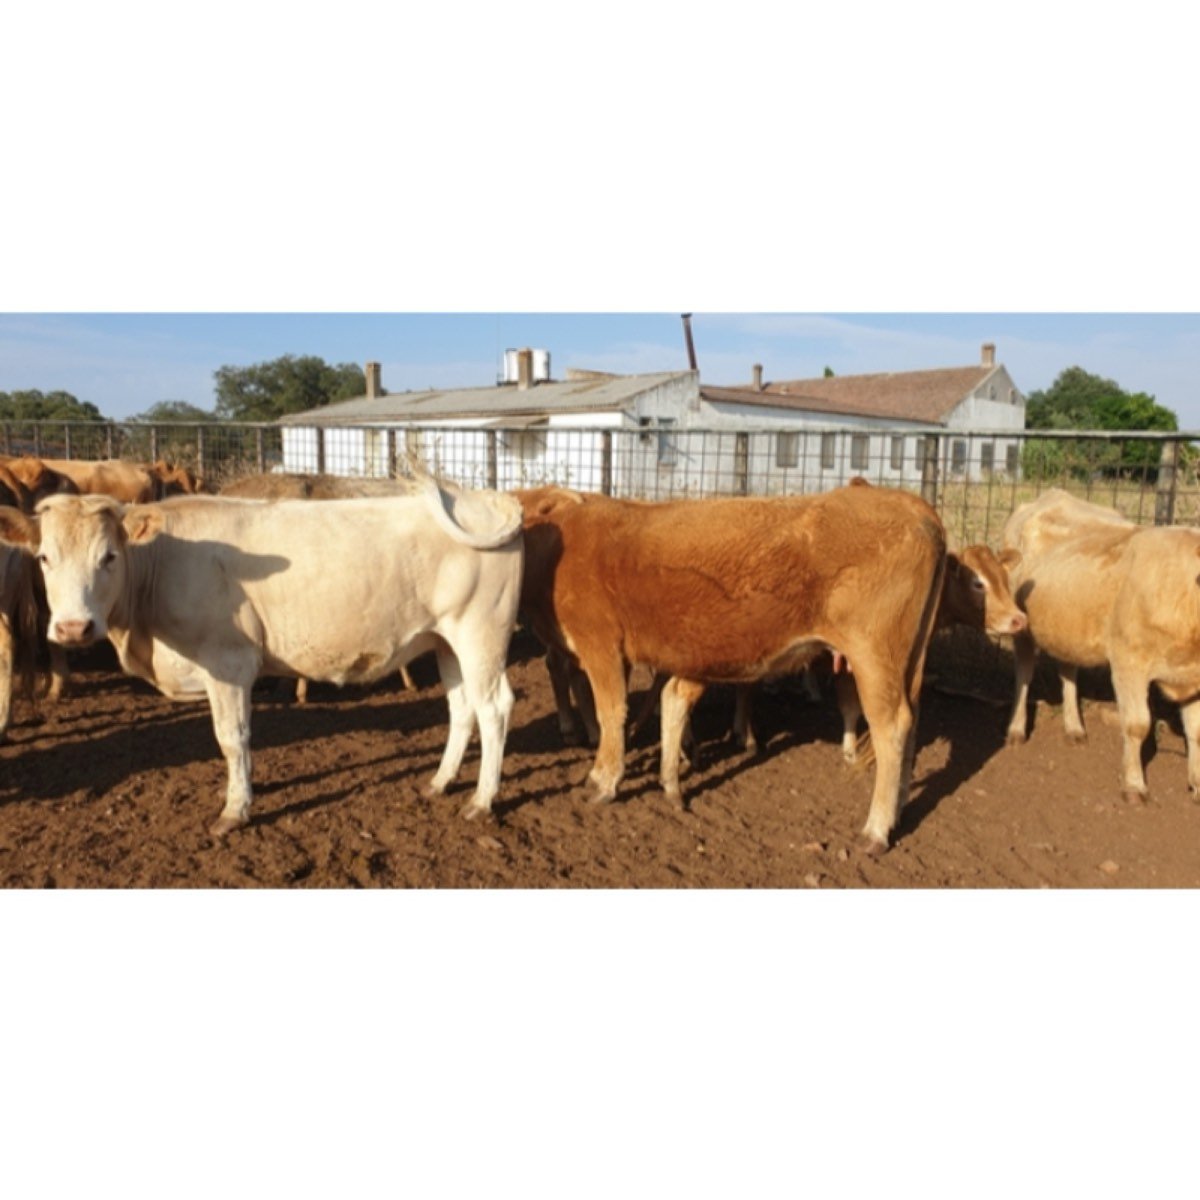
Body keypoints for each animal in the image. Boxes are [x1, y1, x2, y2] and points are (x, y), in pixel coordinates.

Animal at [0, 477, 524, 834]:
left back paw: (482, 800)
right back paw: (440, 781)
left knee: (494, 708)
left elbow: (231, 737)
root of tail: (486, 497)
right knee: (462, 708)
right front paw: (238, 791)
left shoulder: (228, 663)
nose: (73, 628)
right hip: (446, 641)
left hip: (481, 634)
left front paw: (235, 809)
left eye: (109, 556)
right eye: (44, 557)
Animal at [518, 483, 948, 853]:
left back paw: (876, 829)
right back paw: (900, 809)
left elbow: (612, 713)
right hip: (906, 662)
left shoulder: (602, 646)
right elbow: (665, 706)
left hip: (874, 657)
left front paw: (604, 779)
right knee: (911, 720)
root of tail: (911, 504)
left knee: (890, 727)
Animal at [1001, 487, 1200, 802]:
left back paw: (1074, 728)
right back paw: (1017, 729)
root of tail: (1053, 494)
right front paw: (1134, 785)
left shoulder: (1192, 675)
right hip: (1020, 625)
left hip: (1068, 624)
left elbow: (1196, 732)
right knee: (1024, 673)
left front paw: (1197, 783)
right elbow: (1137, 724)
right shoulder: (1128, 663)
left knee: (1068, 672)